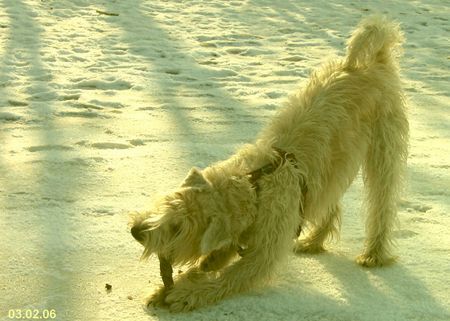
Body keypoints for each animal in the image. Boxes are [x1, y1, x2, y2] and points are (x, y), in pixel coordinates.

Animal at [129, 15, 408, 310]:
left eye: (178, 228)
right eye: (167, 203)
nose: (136, 231)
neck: (256, 185)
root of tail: (376, 60)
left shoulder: (264, 252)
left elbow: (231, 278)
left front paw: (186, 293)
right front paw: (178, 281)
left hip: (384, 148)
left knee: (382, 204)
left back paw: (374, 254)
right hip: (331, 171)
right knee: (329, 201)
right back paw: (314, 241)